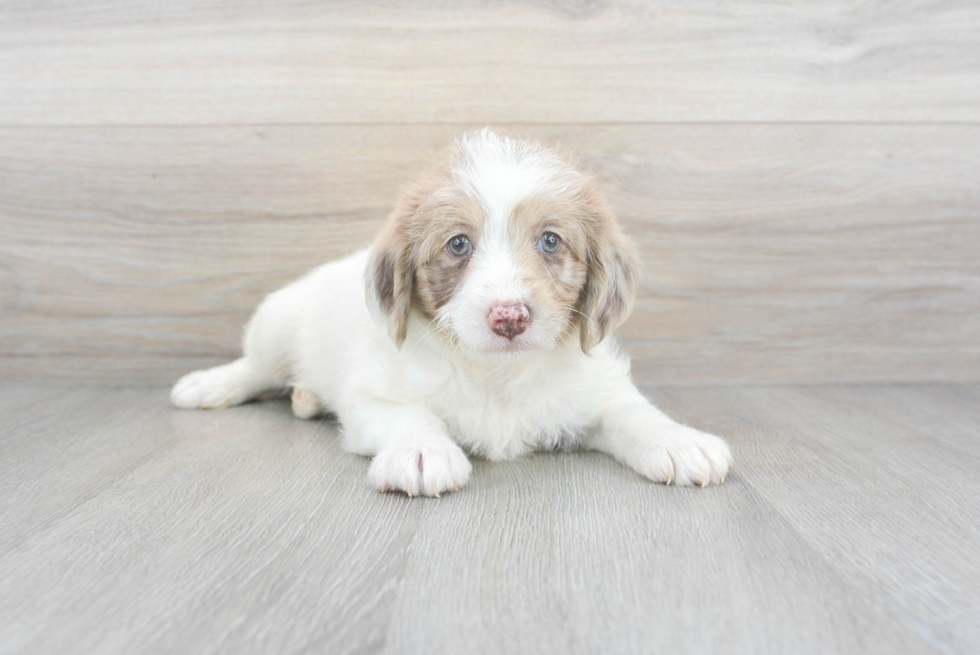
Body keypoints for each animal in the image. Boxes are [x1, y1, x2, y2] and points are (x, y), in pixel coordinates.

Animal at [172, 128, 732, 498]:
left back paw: (305, 398)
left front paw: (679, 440)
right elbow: (411, 416)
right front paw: (423, 451)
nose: (509, 317)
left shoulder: (596, 391)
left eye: (551, 241)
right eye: (459, 244)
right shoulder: (372, 395)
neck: (497, 376)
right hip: (275, 323)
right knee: (254, 368)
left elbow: (634, 412)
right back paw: (211, 384)